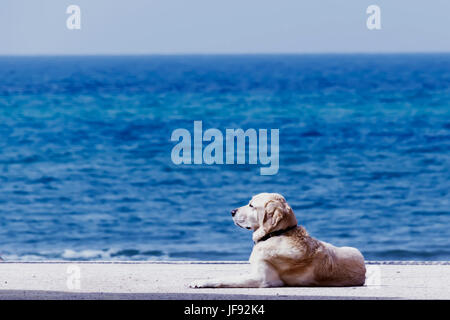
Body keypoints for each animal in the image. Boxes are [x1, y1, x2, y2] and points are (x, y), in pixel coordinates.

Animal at [190, 192, 366, 288]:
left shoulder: (263, 279)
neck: (277, 233)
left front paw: (201, 282)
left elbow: (226, 279)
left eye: (251, 205)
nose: (232, 211)